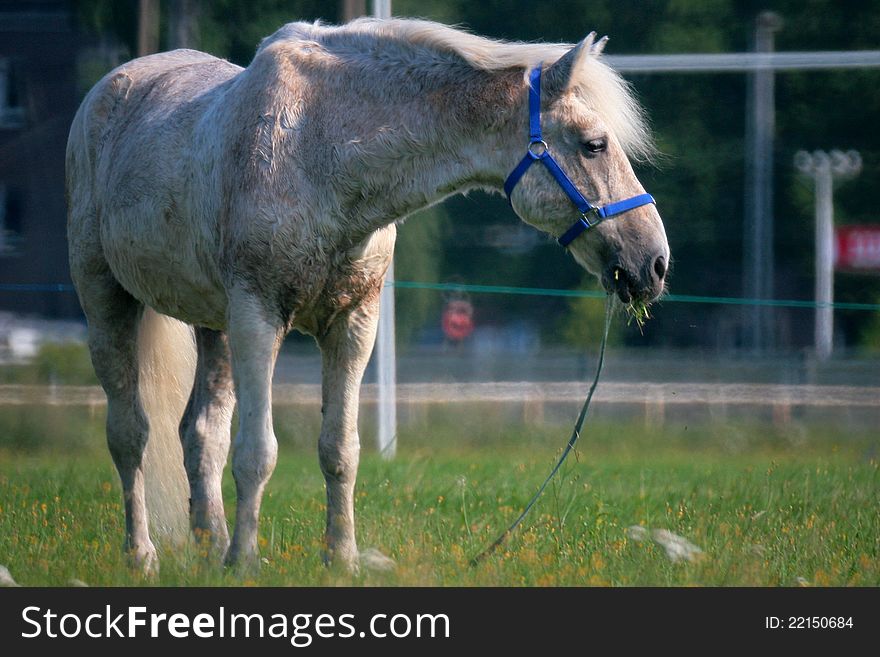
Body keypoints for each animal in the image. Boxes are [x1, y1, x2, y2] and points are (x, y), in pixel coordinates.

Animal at [65, 14, 672, 568]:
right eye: (594, 145)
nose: (655, 262)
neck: (320, 146)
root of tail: (107, 88)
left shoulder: (353, 323)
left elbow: (340, 450)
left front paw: (341, 559)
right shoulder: (258, 317)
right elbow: (258, 452)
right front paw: (247, 563)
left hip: (214, 328)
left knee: (201, 436)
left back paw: (211, 548)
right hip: (110, 303)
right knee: (131, 435)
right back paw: (144, 555)